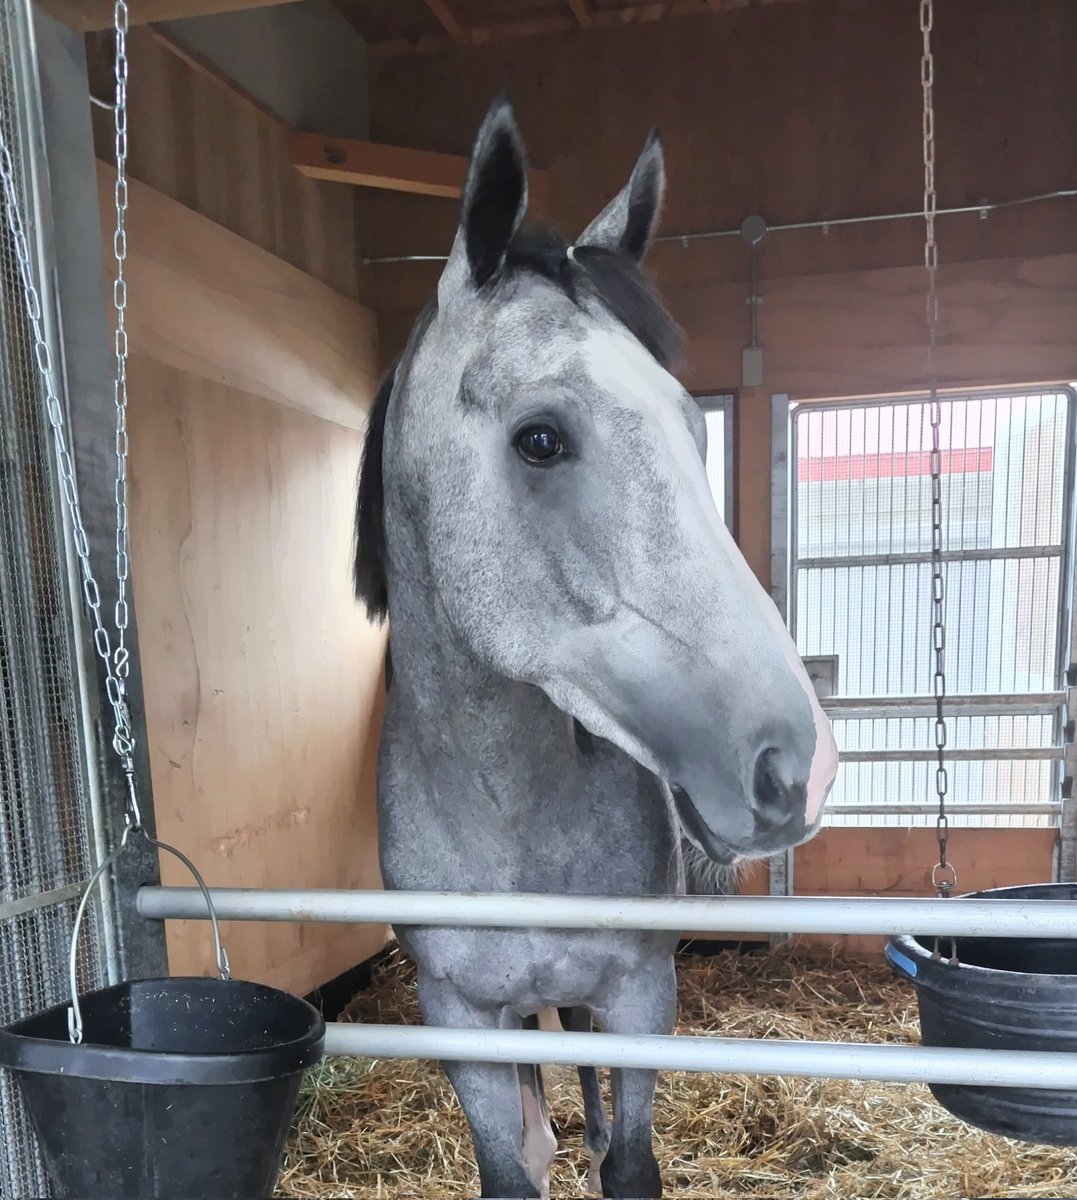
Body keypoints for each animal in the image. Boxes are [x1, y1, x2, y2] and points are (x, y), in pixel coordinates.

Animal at [353, 96, 838, 1200]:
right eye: (541, 439)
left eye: (691, 430)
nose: (798, 764)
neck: (506, 813)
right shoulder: (462, 1023)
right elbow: (512, 1166)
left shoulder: (636, 996)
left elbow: (628, 1159)